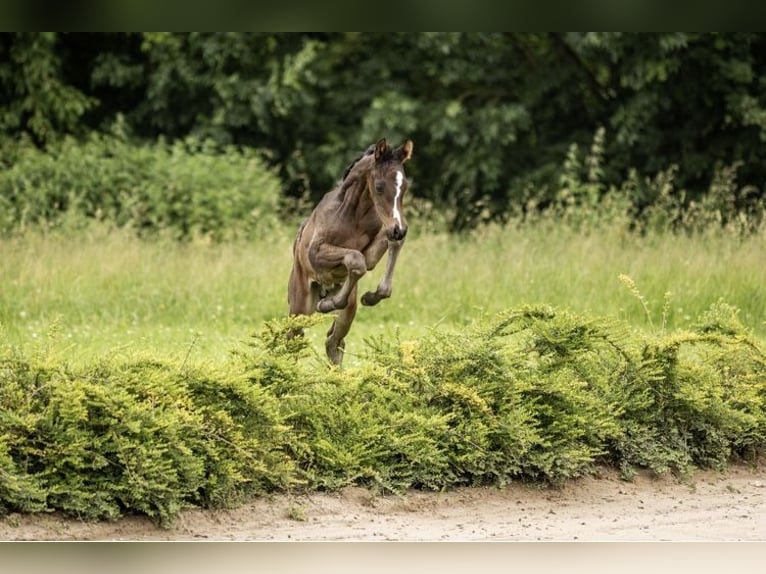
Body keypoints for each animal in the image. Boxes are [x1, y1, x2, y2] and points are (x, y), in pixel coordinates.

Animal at [290, 139, 414, 364]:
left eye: (405, 186)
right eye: (379, 186)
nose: (399, 229)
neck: (353, 214)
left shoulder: (373, 250)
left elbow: (377, 254)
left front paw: (372, 297)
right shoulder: (316, 254)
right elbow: (355, 259)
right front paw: (328, 304)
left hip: (348, 309)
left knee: (333, 341)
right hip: (299, 305)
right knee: (292, 338)